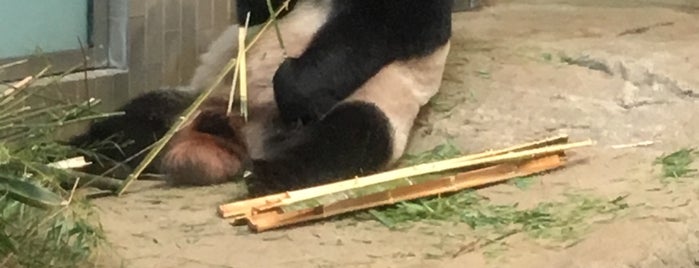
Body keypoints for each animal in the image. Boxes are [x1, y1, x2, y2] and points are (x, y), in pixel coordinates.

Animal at [69, 0, 454, 197]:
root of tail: (243, 141)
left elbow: (391, 26)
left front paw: (293, 89)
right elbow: (254, 11)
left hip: (379, 100)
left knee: (351, 135)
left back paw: (269, 175)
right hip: (193, 102)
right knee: (136, 121)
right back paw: (83, 157)